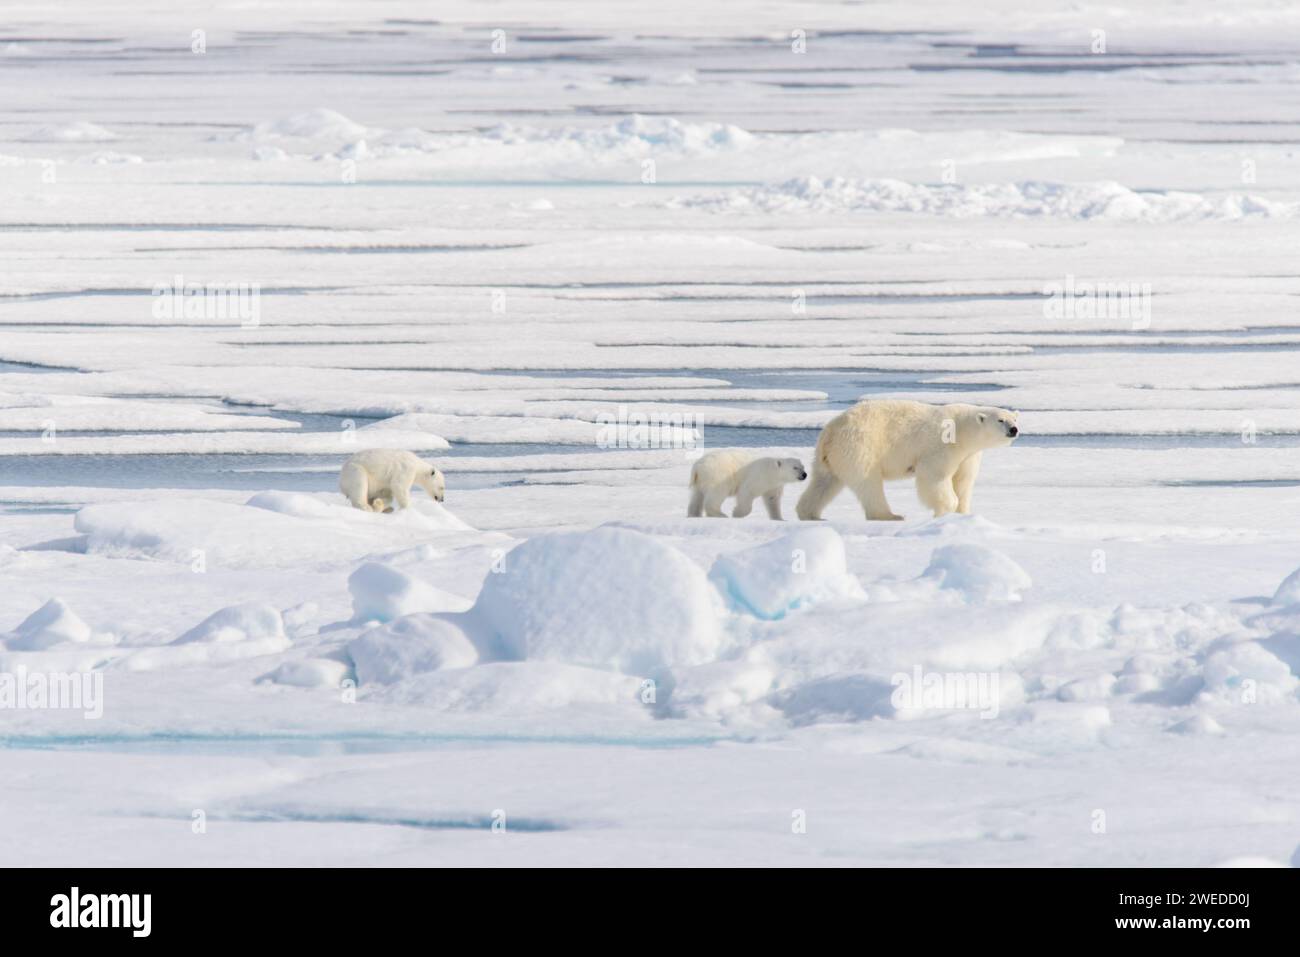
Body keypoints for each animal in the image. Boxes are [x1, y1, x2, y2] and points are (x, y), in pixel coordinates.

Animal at [795, 400, 1018, 522]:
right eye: (1001, 420)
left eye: (1014, 418)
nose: (1014, 429)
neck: (962, 429)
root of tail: (830, 431)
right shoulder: (941, 447)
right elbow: (934, 477)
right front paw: (946, 510)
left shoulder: (968, 455)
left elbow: (963, 481)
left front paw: (963, 513)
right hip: (861, 446)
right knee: (869, 483)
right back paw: (890, 515)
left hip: (830, 457)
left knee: (824, 482)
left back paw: (810, 513)